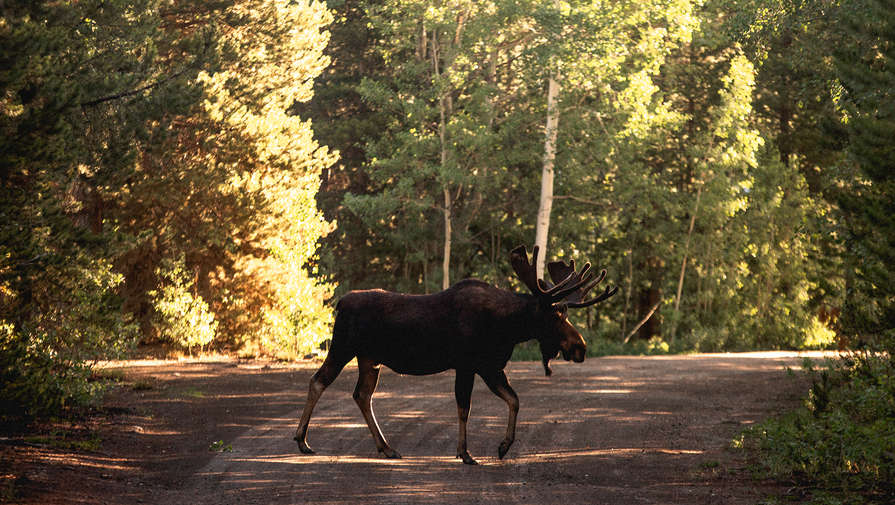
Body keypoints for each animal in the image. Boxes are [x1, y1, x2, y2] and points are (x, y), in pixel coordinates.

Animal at [294, 245, 616, 464]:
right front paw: (466, 452)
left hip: (370, 359)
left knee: (362, 394)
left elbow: (514, 400)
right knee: (318, 381)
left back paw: (386, 447)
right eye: (555, 315)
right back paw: (302, 440)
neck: (507, 327)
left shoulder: (490, 366)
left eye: (565, 314)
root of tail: (340, 303)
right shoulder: (467, 364)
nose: (580, 347)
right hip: (343, 347)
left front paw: (503, 446)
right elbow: (465, 408)